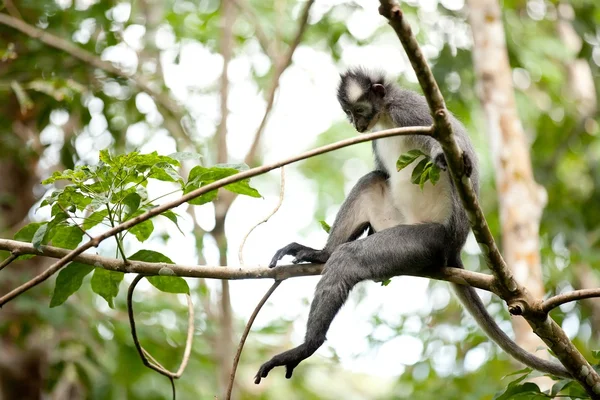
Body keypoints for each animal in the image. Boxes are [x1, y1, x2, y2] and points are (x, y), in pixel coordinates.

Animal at [254, 67, 572, 382]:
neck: (384, 116)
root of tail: (454, 249)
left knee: (350, 259)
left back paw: (309, 344)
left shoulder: (409, 110)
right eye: (348, 113)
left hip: (429, 240)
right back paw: (323, 254)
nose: (357, 125)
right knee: (372, 180)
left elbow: (448, 139)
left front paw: (448, 156)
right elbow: (380, 172)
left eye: (359, 110)